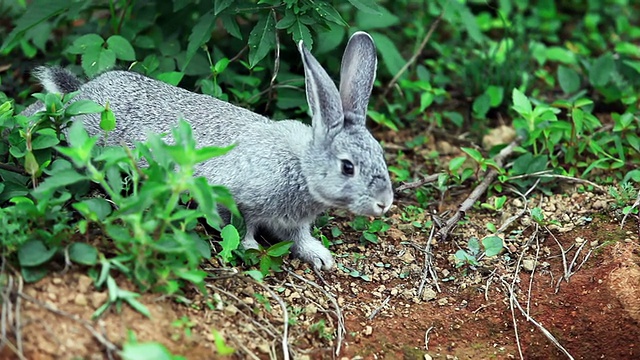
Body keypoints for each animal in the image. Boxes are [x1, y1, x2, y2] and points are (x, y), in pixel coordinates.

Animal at [26, 32, 396, 270]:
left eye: (380, 154)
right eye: (347, 167)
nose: (384, 203)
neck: (301, 167)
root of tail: (84, 92)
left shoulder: (293, 222)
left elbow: (299, 238)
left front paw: (320, 257)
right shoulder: (231, 196)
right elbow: (239, 226)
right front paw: (250, 250)